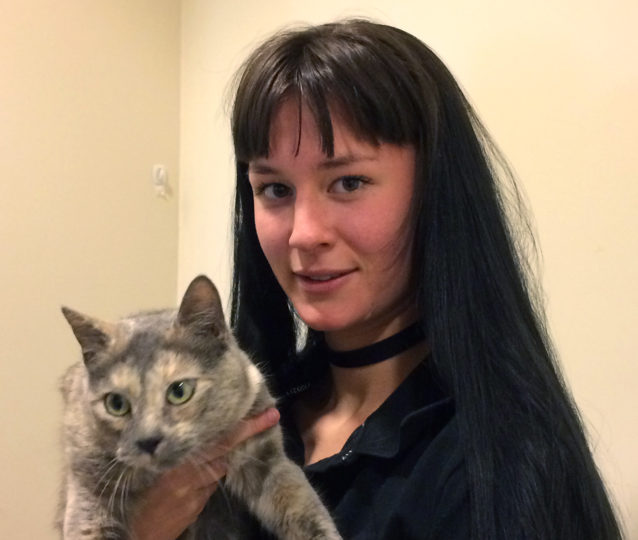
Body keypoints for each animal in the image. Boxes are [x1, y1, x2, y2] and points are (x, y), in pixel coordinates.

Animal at [58, 274, 341, 540]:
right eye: (116, 404)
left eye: (180, 391)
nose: (148, 441)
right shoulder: (88, 492)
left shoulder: (266, 457)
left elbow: (304, 510)